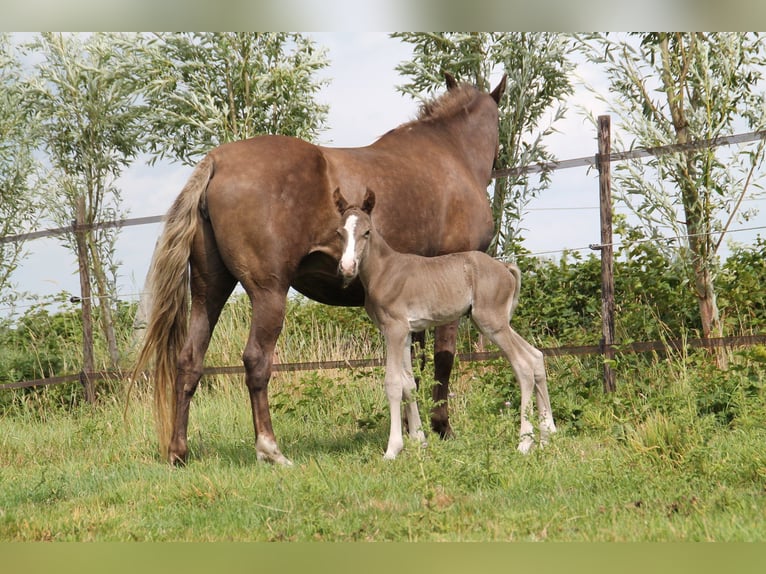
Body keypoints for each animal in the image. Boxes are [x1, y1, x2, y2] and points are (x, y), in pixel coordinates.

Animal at [133, 73, 507, 465]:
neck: (451, 153)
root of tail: (216, 161)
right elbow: (443, 360)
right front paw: (441, 427)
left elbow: (412, 369)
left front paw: (411, 431)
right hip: (269, 293)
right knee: (256, 362)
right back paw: (270, 449)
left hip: (210, 290)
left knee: (189, 359)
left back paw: (179, 451)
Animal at [334, 187, 556, 458]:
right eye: (339, 233)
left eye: (367, 232)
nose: (347, 267)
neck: (384, 271)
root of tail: (504, 266)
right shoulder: (406, 332)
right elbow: (409, 383)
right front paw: (419, 441)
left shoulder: (394, 329)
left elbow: (393, 383)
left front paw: (393, 449)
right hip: (498, 323)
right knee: (536, 357)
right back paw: (547, 435)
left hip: (491, 323)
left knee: (523, 366)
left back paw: (525, 442)